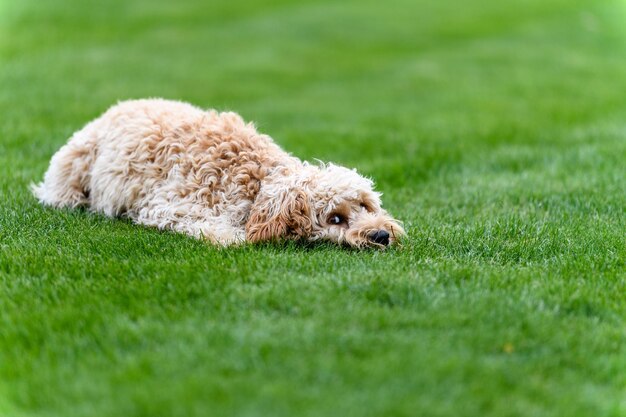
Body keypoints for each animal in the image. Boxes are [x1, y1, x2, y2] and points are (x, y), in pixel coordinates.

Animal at [33, 99, 404, 247]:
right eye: (335, 219)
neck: (259, 180)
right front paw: (233, 237)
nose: (381, 235)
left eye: (365, 206)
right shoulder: (171, 205)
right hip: (75, 165)